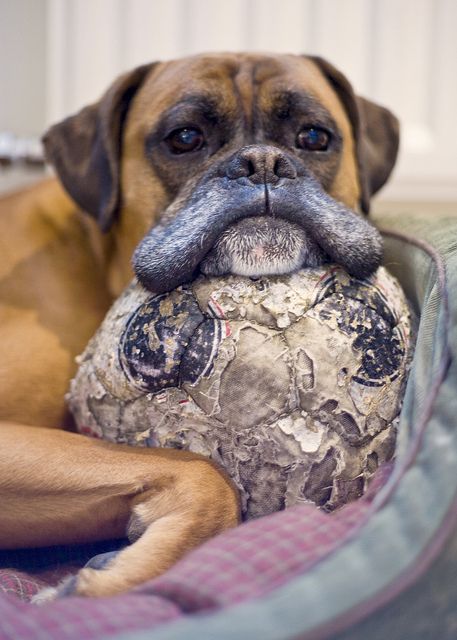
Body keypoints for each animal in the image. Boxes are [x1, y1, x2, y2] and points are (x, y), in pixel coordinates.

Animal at [0, 52, 400, 596]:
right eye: (185, 138)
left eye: (315, 137)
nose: (262, 162)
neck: (94, 255)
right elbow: (206, 475)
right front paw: (105, 586)